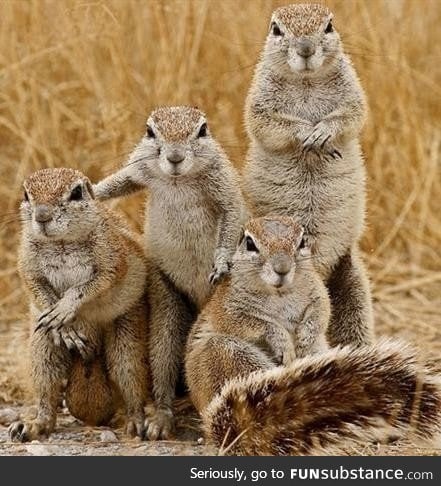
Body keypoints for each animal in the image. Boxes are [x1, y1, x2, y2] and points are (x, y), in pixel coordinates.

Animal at [8, 167, 149, 440]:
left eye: (76, 193)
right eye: (26, 194)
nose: (42, 216)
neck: (62, 243)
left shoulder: (112, 257)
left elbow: (91, 285)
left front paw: (65, 308)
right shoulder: (26, 263)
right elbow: (36, 287)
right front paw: (64, 328)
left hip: (127, 335)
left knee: (129, 376)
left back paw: (136, 422)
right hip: (41, 346)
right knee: (47, 389)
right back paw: (33, 424)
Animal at [94, 106, 244, 440]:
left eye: (202, 130)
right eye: (151, 132)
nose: (175, 157)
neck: (178, 180)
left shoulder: (223, 181)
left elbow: (232, 214)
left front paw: (221, 263)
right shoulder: (139, 168)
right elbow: (118, 181)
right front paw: (89, 190)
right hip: (166, 298)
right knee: (164, 355)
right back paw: (162, 417)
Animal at [184, 216, 440, 456]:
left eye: (302, 241)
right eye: (249, 243)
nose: (282, 268)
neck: (280, 294)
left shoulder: (317, 291)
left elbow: (321, 311)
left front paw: (305, 335)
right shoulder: (228, 309)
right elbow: (254, 322)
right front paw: (281, 339)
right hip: (227, 354)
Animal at [242, 1, 372, 348]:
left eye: (329, 26)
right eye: (276, 29)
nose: (305, 49)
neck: (306, 82)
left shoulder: (352, 92)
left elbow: (352, 115)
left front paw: (323, 133)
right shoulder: (259, 100)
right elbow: (268, 123)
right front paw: (305, 133)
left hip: (352, 283)